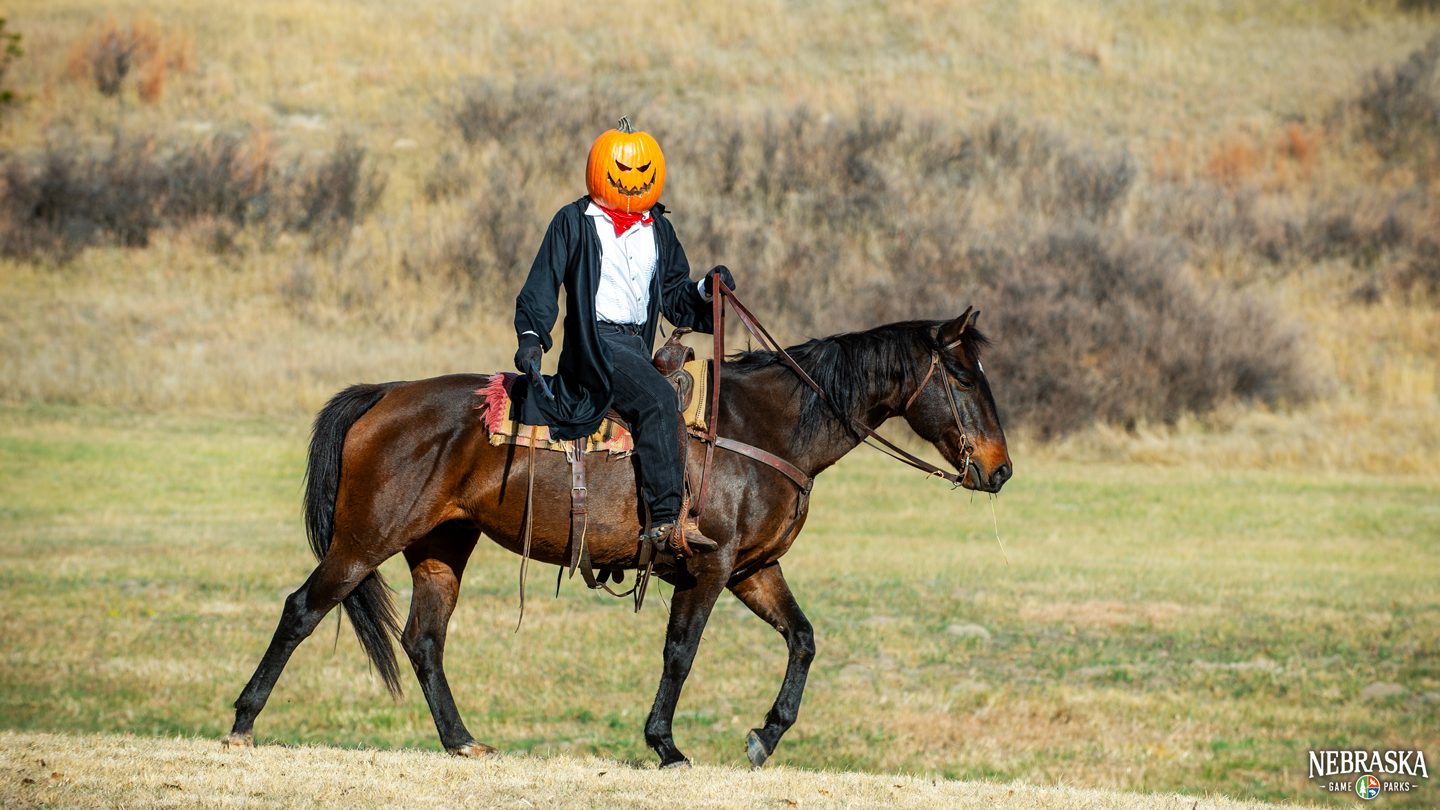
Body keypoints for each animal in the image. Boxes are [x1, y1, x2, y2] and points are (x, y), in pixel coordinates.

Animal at [222, 306, 1011, 768]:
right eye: (964, 373)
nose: (1000, 469)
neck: (762, 428)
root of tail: (385, 394)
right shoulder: (709, 567)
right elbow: (681, 653)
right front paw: (666, 745)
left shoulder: (754, 569)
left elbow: (804, 640)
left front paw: (763, 736)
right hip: (365, 538)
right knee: (303, 608)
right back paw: (243, 723)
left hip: (441, 545)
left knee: (423, 640)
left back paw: (462, 741)